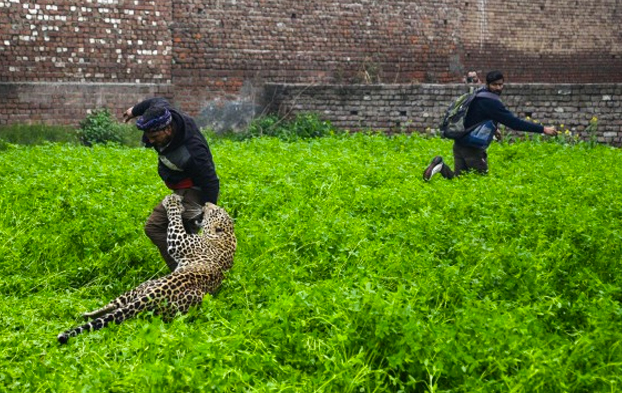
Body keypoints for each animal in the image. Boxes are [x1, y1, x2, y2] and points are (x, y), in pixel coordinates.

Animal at [57, 193, 238, 344]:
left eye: (214, 211)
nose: (206, 203)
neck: (227, 236)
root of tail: (153, 295)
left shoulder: (179, 241)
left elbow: (175, 220)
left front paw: (172, 202)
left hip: (144, 289)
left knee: (115, 307)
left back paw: (86, 314)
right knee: (115, 308)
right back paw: (86, 314)